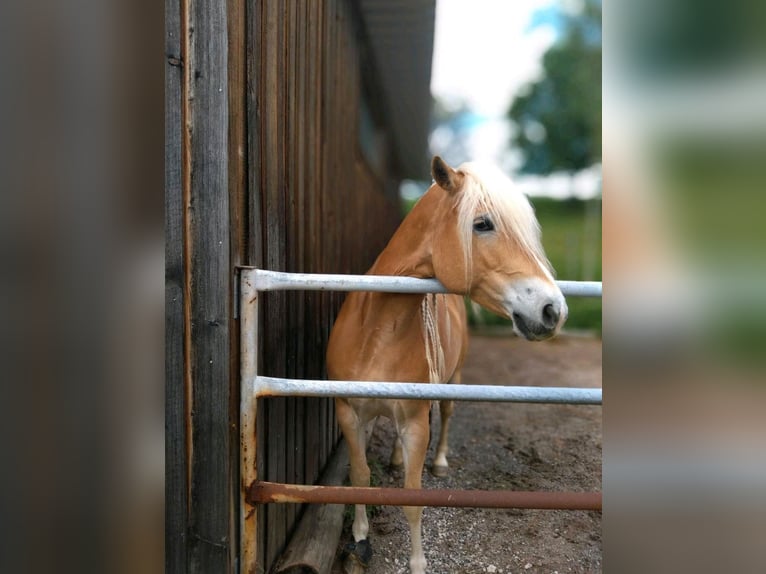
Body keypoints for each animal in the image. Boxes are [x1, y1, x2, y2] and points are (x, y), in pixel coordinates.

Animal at [326, 156, 568, 574]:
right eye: (482, 223)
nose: (553, 310)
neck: (376, 332)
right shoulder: (349, 413)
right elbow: (359, 476)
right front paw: (359, 539)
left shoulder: (414, 422)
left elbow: (412, 496)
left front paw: (418, 562)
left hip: (452, 382)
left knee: (447, 415)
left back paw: (438, 461)